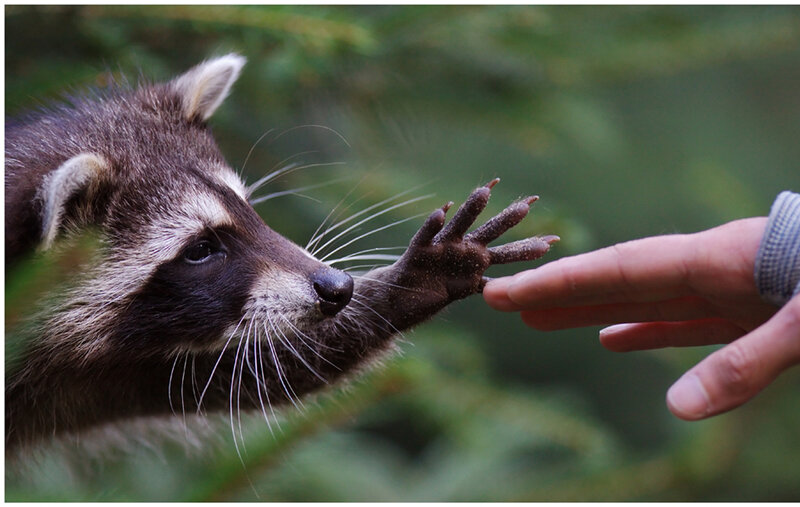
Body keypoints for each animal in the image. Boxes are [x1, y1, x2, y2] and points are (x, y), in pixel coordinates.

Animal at [5, 54, 557, 454]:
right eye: (201, 249)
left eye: (246, 208)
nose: (339, 288)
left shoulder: (103, 376)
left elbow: (243, 372)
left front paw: (411, 283)